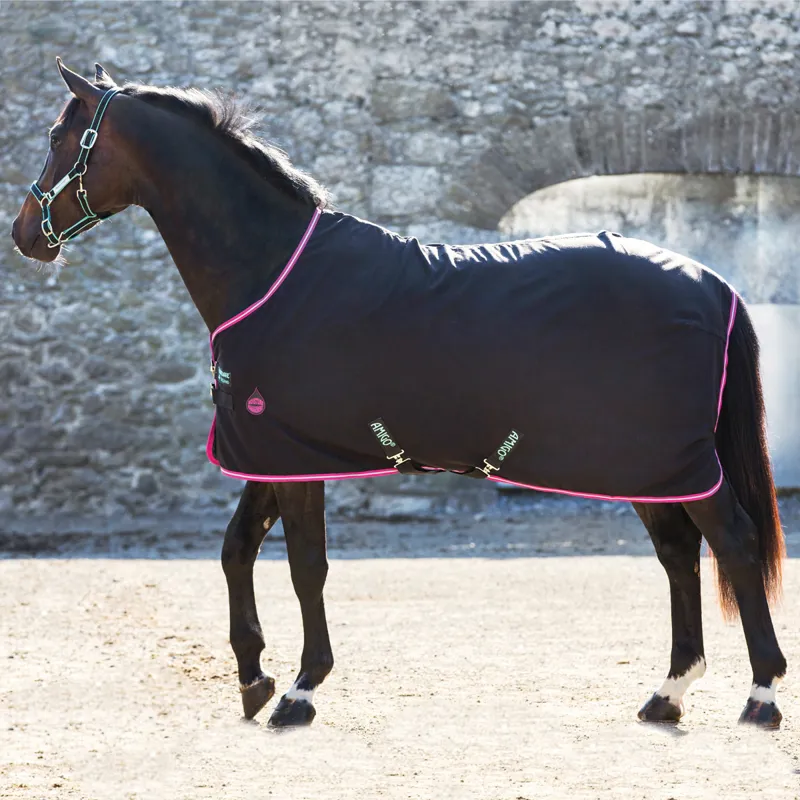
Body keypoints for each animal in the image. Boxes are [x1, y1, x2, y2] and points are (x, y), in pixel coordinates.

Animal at [11, 60, 787, 729]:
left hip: (670, 461)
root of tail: (711, 282)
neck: (273, 270)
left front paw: (300, 688)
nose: (24, 235)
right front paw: (253, 677)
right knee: (679, 553)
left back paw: (762, 695)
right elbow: (236, 549)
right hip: (646, 466)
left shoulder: (295, 458)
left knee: (734, 542)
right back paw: (667, 693)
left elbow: (306, 566)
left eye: (57, 136)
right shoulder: (270, 449)